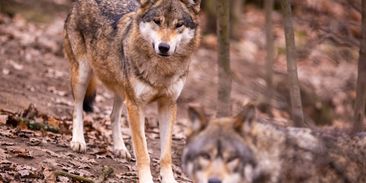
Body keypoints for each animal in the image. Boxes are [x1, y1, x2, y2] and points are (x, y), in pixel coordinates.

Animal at [63, 0, 200, 182]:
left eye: (179, 25)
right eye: (157, 21)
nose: (164, 47)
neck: (161, 71)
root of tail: (77, 3)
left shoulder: (168, 105)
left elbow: (166, 155)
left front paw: (169, 179)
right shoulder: (136, 105)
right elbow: (143, 152)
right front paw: (146, 179)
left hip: (122, 90)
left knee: (112, 116)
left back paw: (120, 148)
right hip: (82, 75)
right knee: (77, 108)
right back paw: (78, 141)